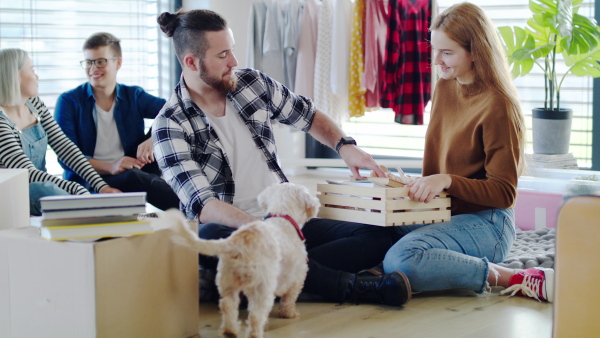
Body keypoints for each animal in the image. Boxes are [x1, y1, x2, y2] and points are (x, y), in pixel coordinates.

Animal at [162, 182, 322, 338]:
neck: (282, 216)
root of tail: (238, 243)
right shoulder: (297, 276)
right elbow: (289, 298)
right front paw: (289, 313)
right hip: (262, 287)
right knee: (255, 316)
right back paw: (256, 332)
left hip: (227, 282)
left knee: (227, 306)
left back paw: (230, 330)